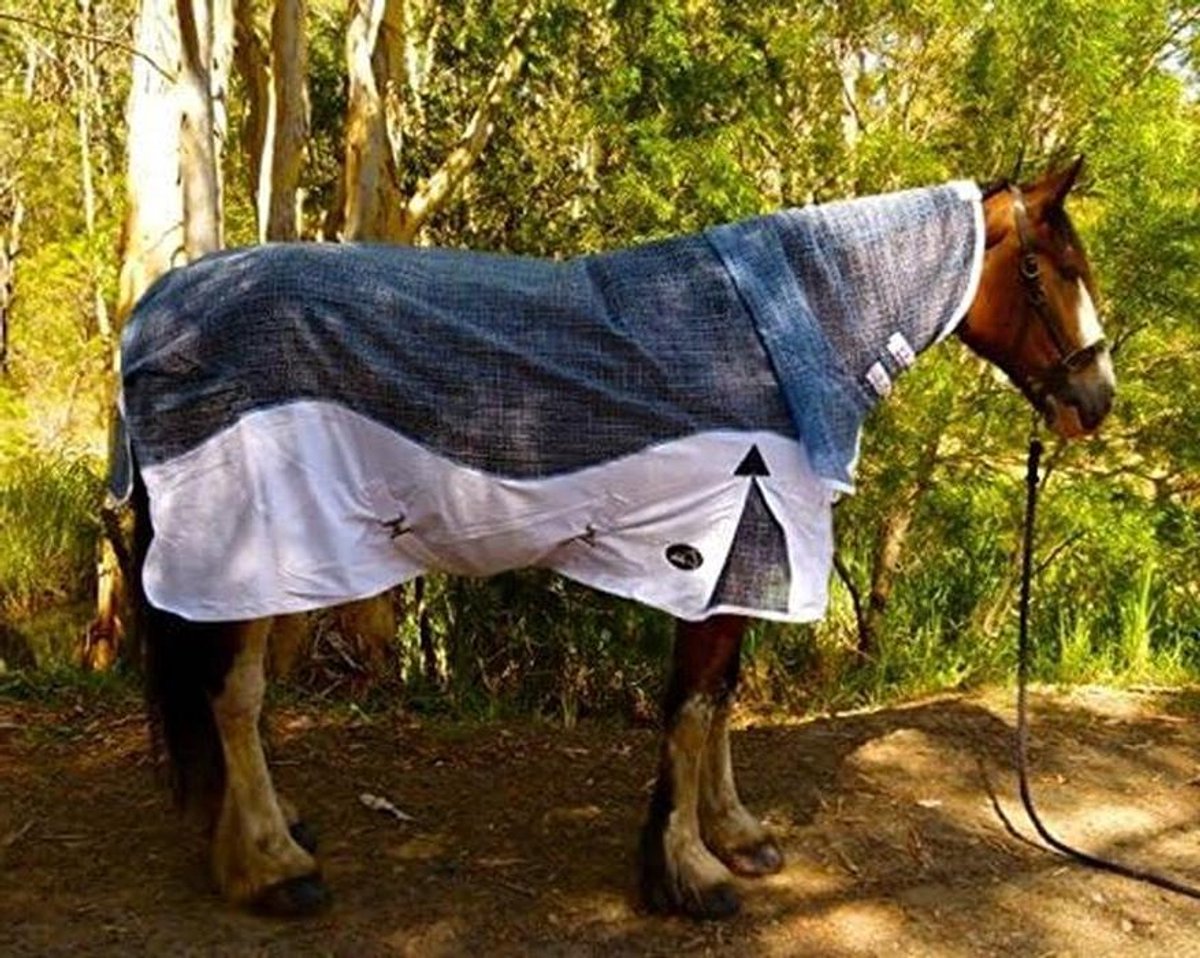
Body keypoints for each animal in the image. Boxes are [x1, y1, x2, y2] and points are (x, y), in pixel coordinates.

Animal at [118, 159, 1113, 920]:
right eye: (1050, 268)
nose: (1095, 401)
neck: (777, 340)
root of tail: (157, 310)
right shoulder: (728, 549)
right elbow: (690, 708)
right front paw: (690, 872)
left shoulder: (743, 565)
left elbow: (718, 701)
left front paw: (734, 835)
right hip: (251, 551)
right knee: (234, 694)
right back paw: (273, 869)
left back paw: (275, 834)